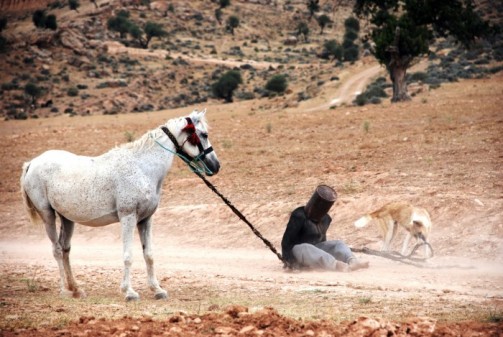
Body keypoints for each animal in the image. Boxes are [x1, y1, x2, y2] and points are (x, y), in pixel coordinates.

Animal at [19, 109, 220, 300]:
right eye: (203, 134)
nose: (216, 166)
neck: (142, 168)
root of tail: (32, 163)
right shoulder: (128, 217)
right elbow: (128, 256)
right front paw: (129, 292)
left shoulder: (145, 220)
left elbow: (149, 255)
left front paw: (157, 290)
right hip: (48, 215)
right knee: (57, 250)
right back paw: (65, 291)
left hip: (67, 218)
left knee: (66, 249)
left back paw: (76, 289)